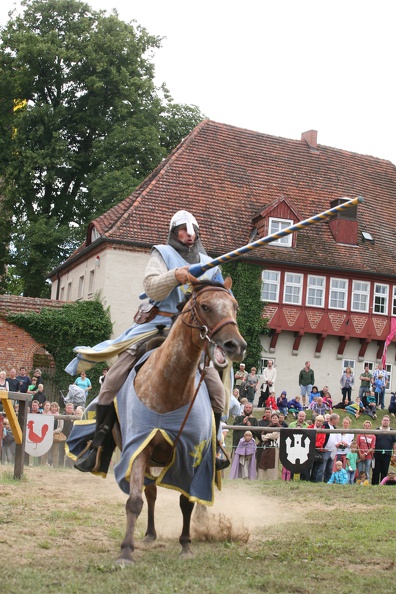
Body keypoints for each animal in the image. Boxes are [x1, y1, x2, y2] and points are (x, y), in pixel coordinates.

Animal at [113, 276, 246, 560]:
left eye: (235, 307)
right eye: (205, 306)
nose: (236, 346)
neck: (169, 388)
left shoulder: (192, 453)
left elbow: (186, 500)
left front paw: (186, 544)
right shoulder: (139, 448)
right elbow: (136, 500)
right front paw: (126, 551)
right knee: (151, 491)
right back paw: (150, 533)